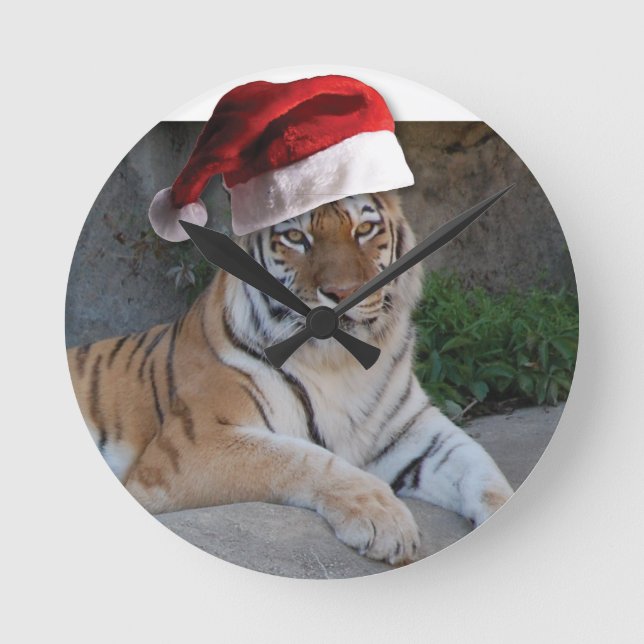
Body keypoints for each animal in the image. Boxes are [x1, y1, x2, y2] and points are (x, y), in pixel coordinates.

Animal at [67, 191, 513, 566]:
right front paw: (384, 519)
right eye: (297, 237)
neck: (339, 363)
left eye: (364, 230)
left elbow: (481, 467)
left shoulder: (415, 431)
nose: (342, 293)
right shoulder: (192, 445)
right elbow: (303, 458)